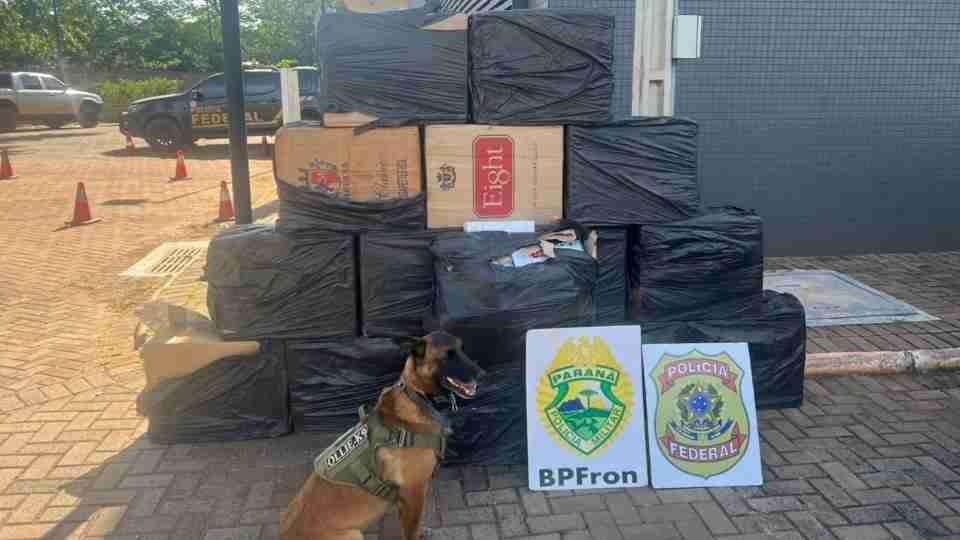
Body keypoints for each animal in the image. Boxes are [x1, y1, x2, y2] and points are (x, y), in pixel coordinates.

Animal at [280, 331, 485, 540]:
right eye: (448, 355)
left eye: (462, 349)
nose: (482, 373)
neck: (417, 396)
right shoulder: (414, 493)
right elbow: (411, 530)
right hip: (353, 534)